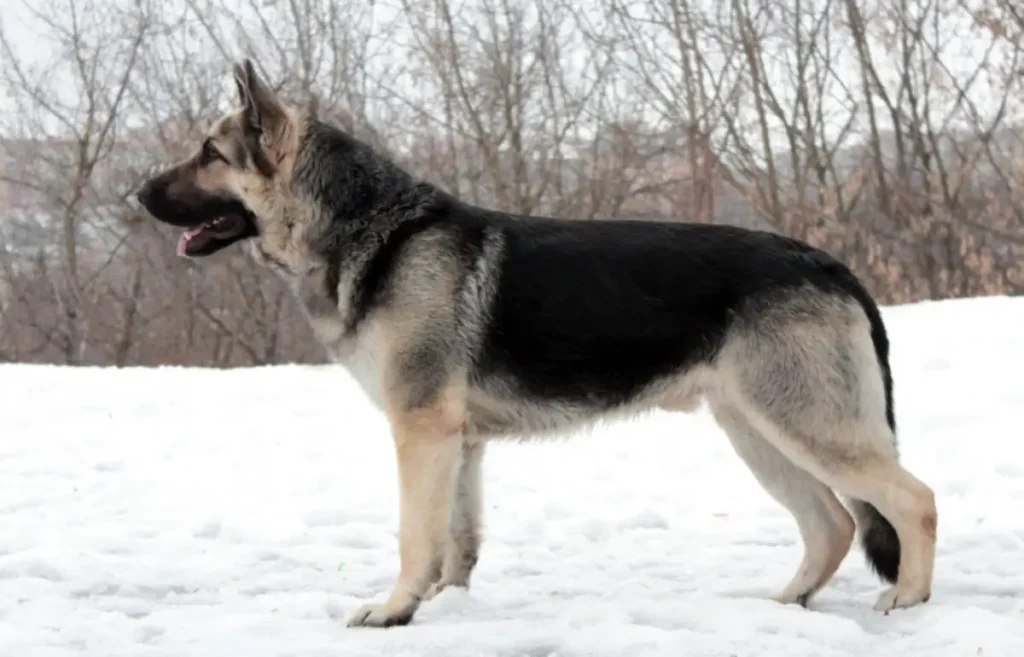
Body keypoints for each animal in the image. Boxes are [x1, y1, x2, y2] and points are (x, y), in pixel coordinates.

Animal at [136, 58, 937, 626]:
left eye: (209, 154)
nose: (135, 194)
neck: (374, 229)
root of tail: (829, 262)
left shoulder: (420, 432)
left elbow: (413, 534)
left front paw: (394, 610)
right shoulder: (457, 443)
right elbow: (455, 540)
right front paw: (445, 604)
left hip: (808, 429)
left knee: (914, 499)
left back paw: (909, 599)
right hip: (760, 432)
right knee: (833, 523)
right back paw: (788, 603)